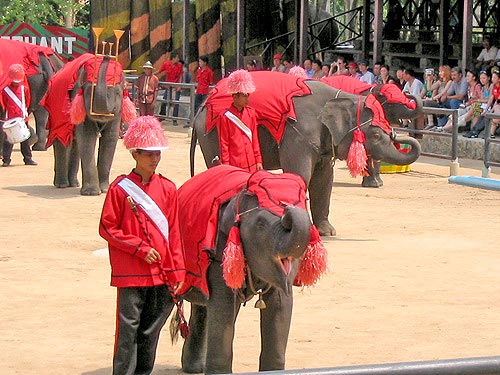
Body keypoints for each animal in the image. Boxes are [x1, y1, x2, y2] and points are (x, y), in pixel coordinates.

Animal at [45, 53, 132, 197]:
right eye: (89, 92)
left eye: (118, 93)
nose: (106, 56)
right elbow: (87, 137)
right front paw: (91, 193)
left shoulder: (118, 111)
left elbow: (110, 138)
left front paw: (105, 190)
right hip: (55, 114)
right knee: (62, 141)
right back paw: (62, 185)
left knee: (75, 144)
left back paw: (73, 184)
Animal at [177, 166, 328, 374]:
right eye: (260, 225)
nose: (288, 207)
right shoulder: (219, 252)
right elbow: (224, 306)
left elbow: (282, 305)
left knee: (201, 308)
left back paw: (194, 368)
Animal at [189, 72, 420, 236]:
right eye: (375, 135)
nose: (397, 134)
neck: (339, 96)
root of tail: (202, 105)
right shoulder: (298, 132)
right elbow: (299, 173)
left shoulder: (324, 140)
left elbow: (324, 179)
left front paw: (327, 232)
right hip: (212, 135)